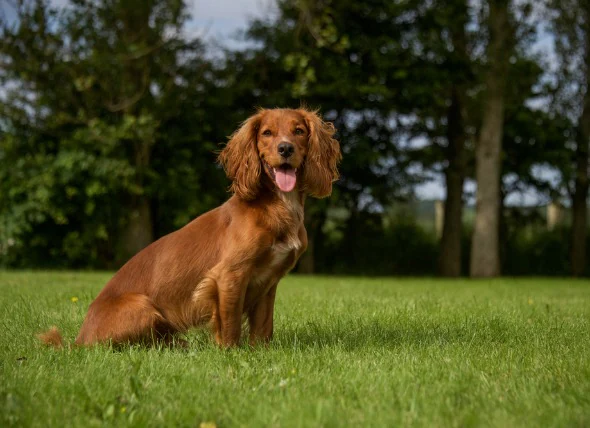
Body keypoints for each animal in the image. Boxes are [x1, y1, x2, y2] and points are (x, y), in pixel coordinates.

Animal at [39, 107, 340, 348]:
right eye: (267, 133)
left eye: (299, 131)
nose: (285, 149)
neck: (277, 204)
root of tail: (78, 340)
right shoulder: (228, 275)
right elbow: (230, 324)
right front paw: (231, 354)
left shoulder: (269, 281)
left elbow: (264, 326)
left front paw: (261, 353)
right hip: (143, 307)